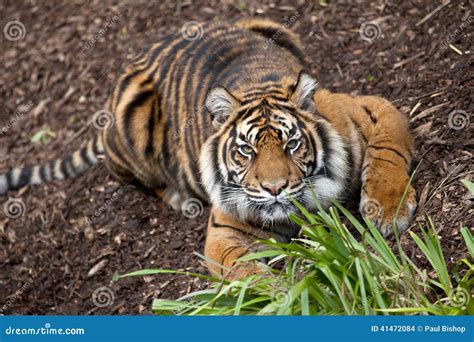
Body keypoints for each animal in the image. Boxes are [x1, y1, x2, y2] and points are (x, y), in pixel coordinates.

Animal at [0, 18, 414, 280]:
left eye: (292, 144)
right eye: (246, 151)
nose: (274, 188)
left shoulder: (370, 106)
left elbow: (389, 149)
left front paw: (388, 211)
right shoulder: (223, 232)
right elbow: (244, 272)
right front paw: (281, 293)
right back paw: (181, 200)